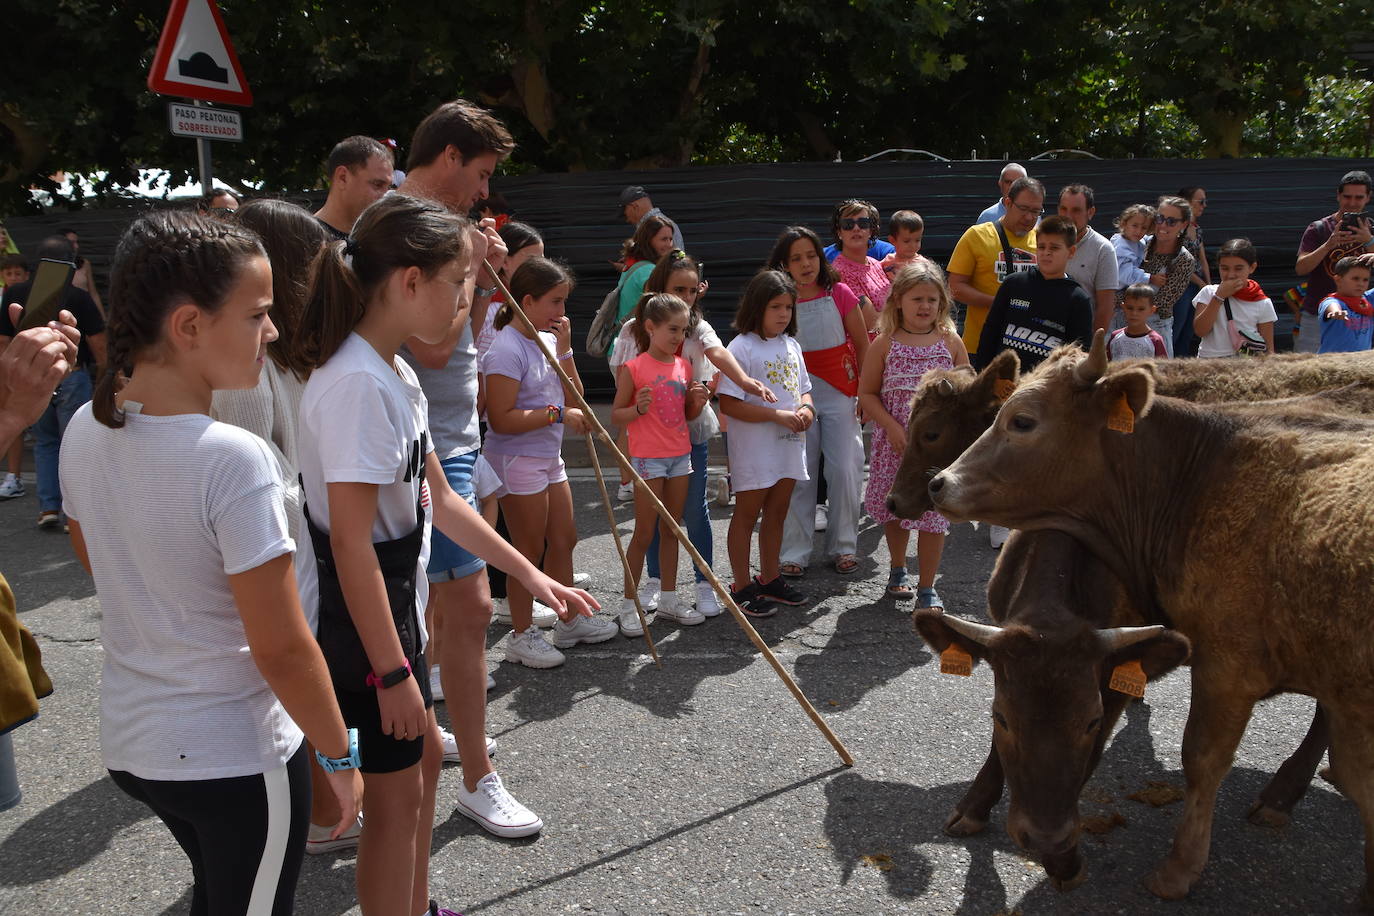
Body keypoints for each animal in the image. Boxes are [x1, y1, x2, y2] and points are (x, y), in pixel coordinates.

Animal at [923, 333, 1374, 906]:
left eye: (1021, 420)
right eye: (1000, 718)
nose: (939, 483)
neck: (1197, 475)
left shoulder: (1224, 666)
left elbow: (1200, 758)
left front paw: (1172, 868)